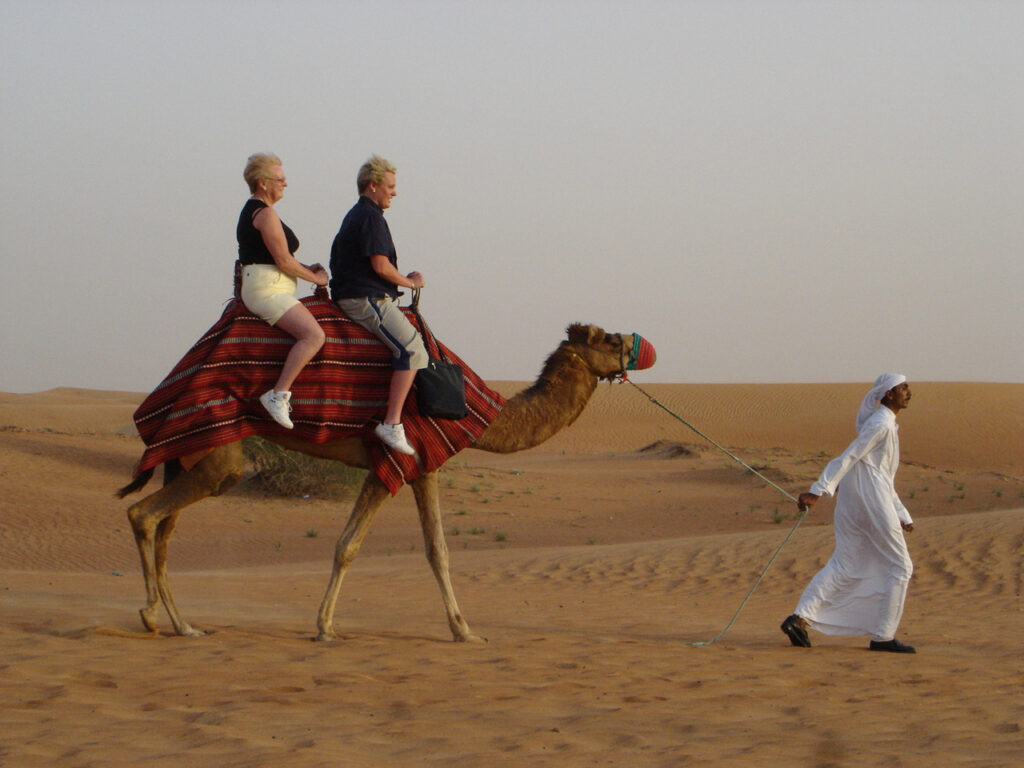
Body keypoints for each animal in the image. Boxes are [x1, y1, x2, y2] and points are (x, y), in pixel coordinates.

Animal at [114, 325, 655, 643]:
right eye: (609, 340)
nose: (644, 347)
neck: (481, 411)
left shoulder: (412, 465)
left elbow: (417, 548)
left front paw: (459, 629)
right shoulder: (401, 456)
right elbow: (369, 546)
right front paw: (330, 627)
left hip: (191, 455)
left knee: (164, 529)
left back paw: (183, 624)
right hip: (218, 454)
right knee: (144, 513)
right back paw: (150, 615)